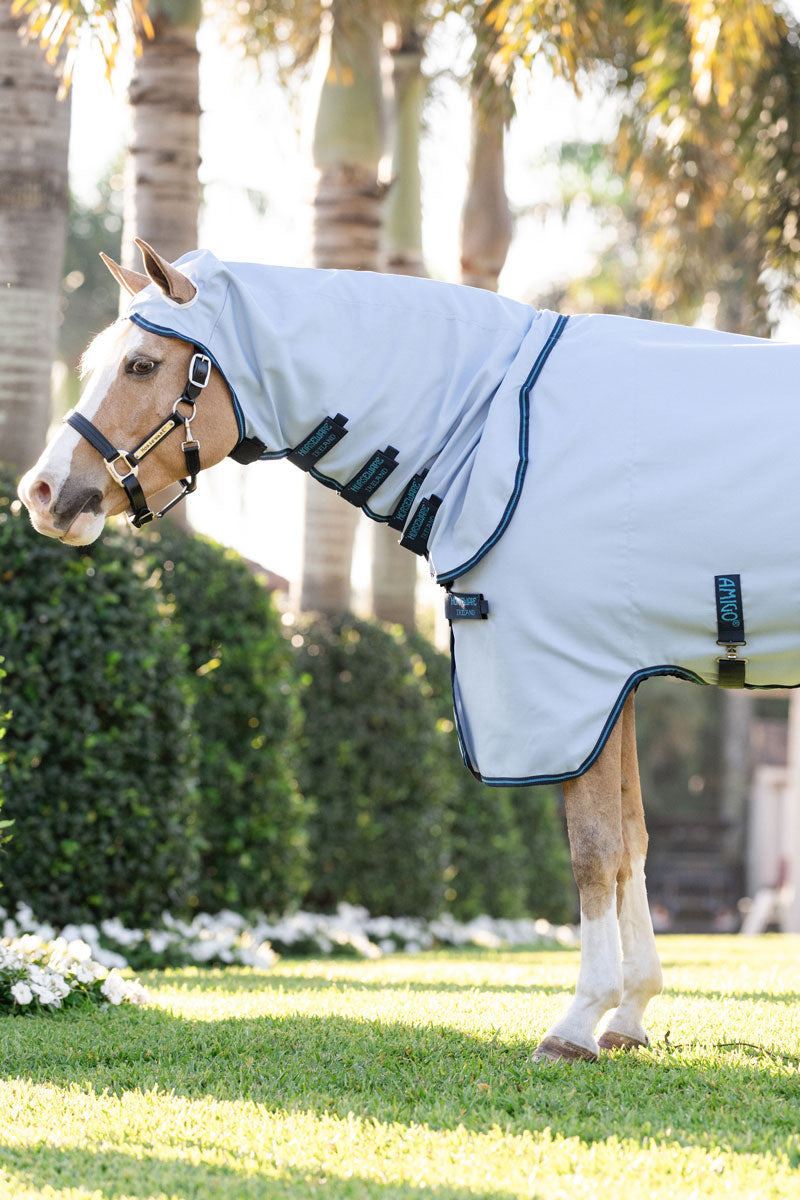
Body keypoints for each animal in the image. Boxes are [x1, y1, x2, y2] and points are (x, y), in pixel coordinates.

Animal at [20, 239, 799, 1063]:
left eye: (140, 365)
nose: (42, 492)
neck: (500, 417)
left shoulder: (569, 681)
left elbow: (593, 851)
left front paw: (577, 1022)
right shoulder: (611, 679)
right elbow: (631, 843)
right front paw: (630, 1012)